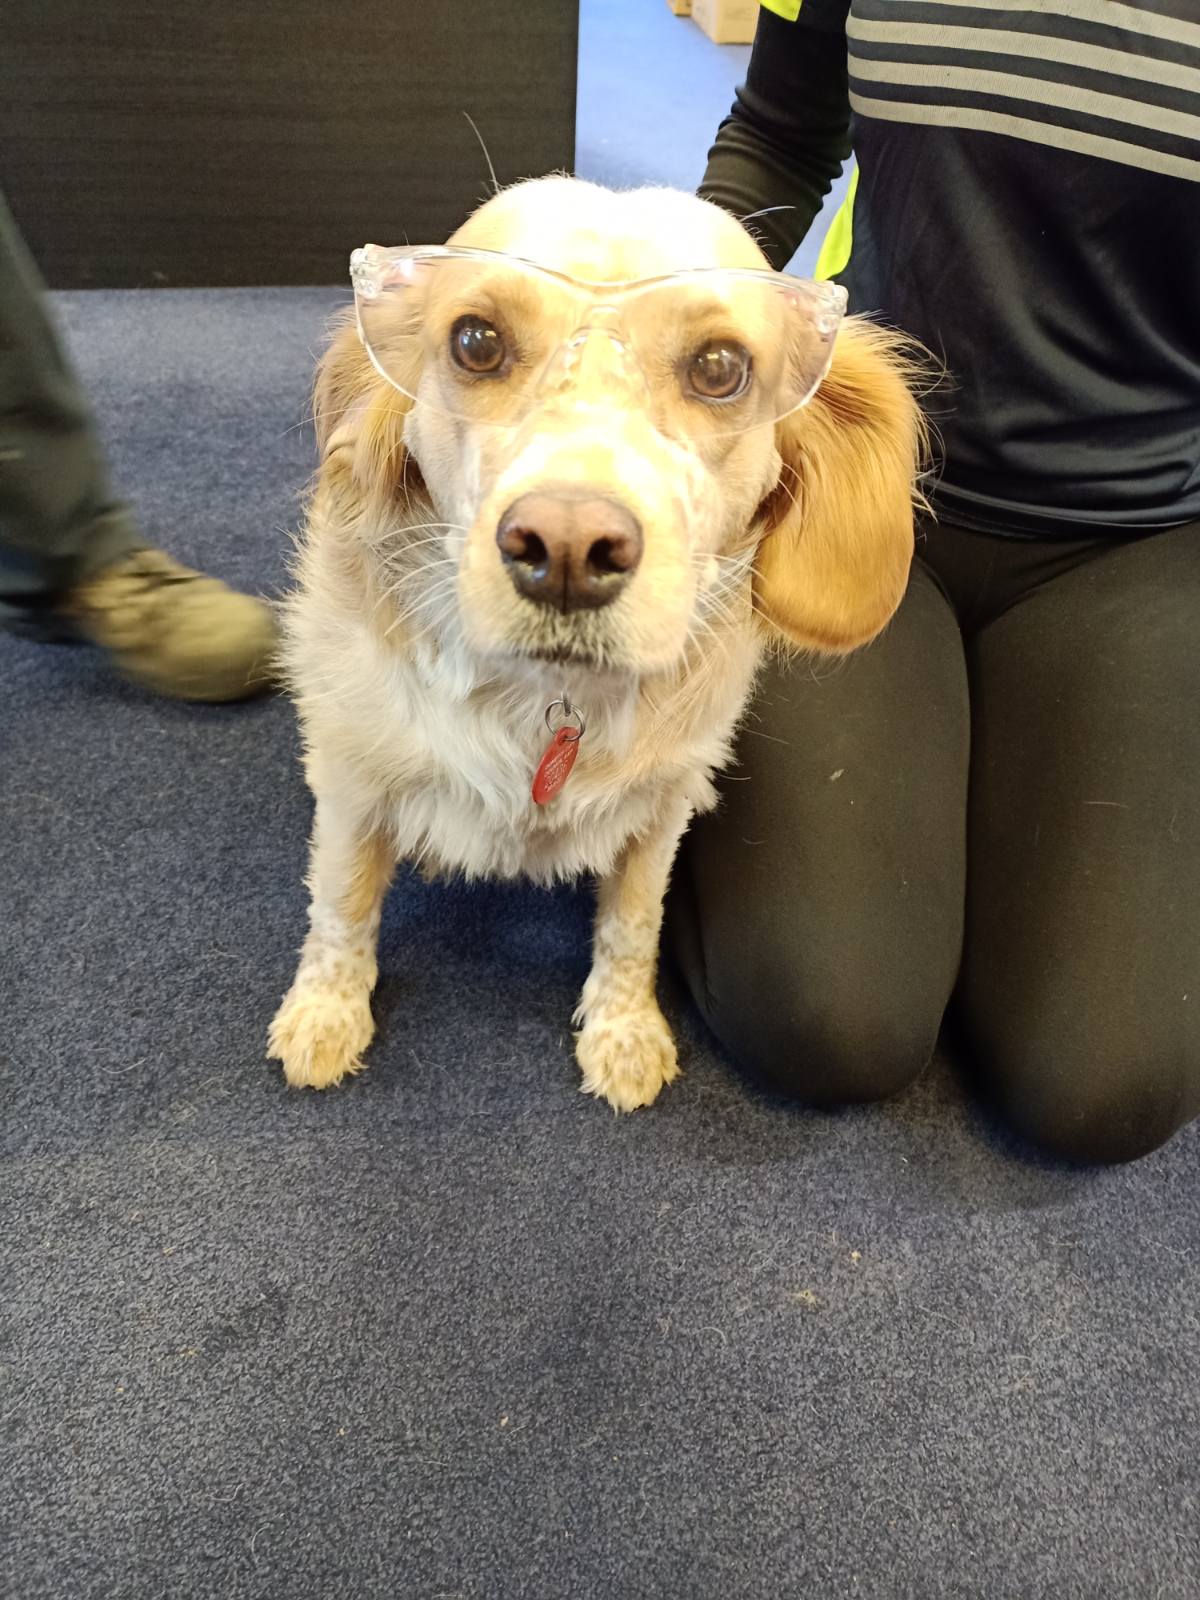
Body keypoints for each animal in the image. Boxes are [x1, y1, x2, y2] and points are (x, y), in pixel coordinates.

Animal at [268, 175, 924, 1111]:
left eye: (720, 367)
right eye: (475, 341)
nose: (567, 549)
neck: (547, 697)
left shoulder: (662, 807)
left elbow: (632, 923)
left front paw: (623, 1030)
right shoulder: (355, 781)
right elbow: (342, 905)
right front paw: (325, 1014)